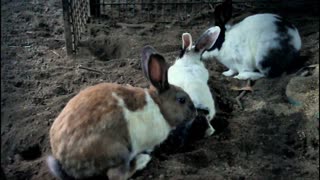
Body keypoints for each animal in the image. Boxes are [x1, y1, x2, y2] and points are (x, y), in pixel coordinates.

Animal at [46, 45, 196, 180]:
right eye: (182, 100)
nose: (195, 113)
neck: (159, 107)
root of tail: (65, 163)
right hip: (119, 150)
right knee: (116, 175)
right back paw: (142, 160)